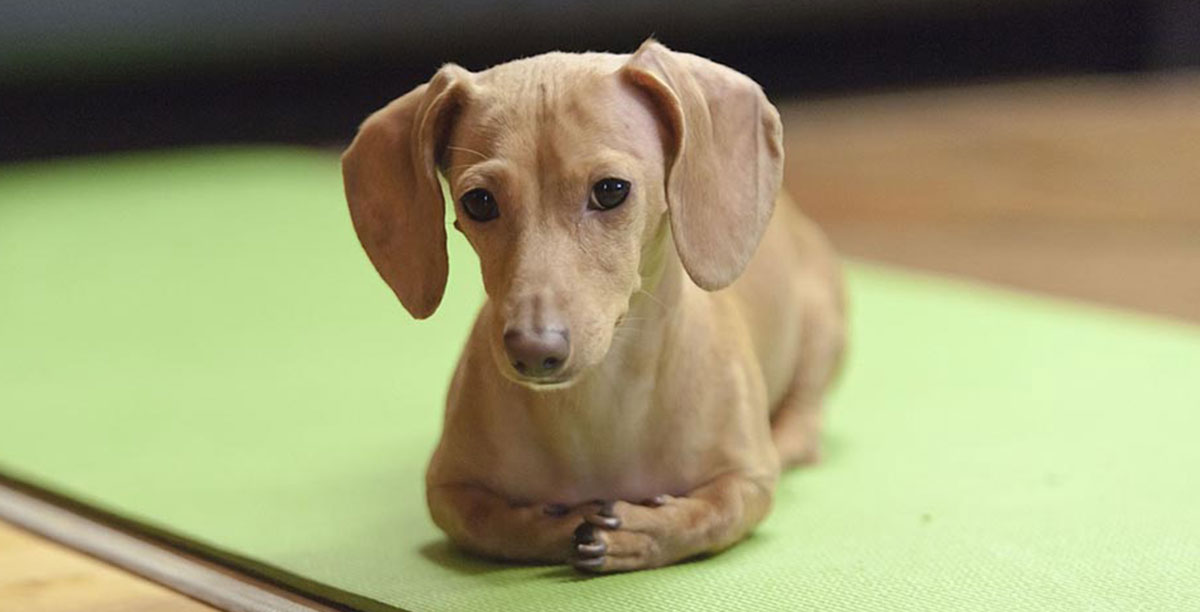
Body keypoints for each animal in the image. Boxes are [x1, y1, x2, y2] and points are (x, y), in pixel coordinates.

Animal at [338, 40, 844, 571]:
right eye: (477, 201)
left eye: (611, 190)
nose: (533, 350)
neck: (602, 399)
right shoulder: (445, 489)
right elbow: (490, 525)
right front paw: (556, 525)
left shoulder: (748, 481)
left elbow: (714, 514)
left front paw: (645, 532)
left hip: (824, 328)